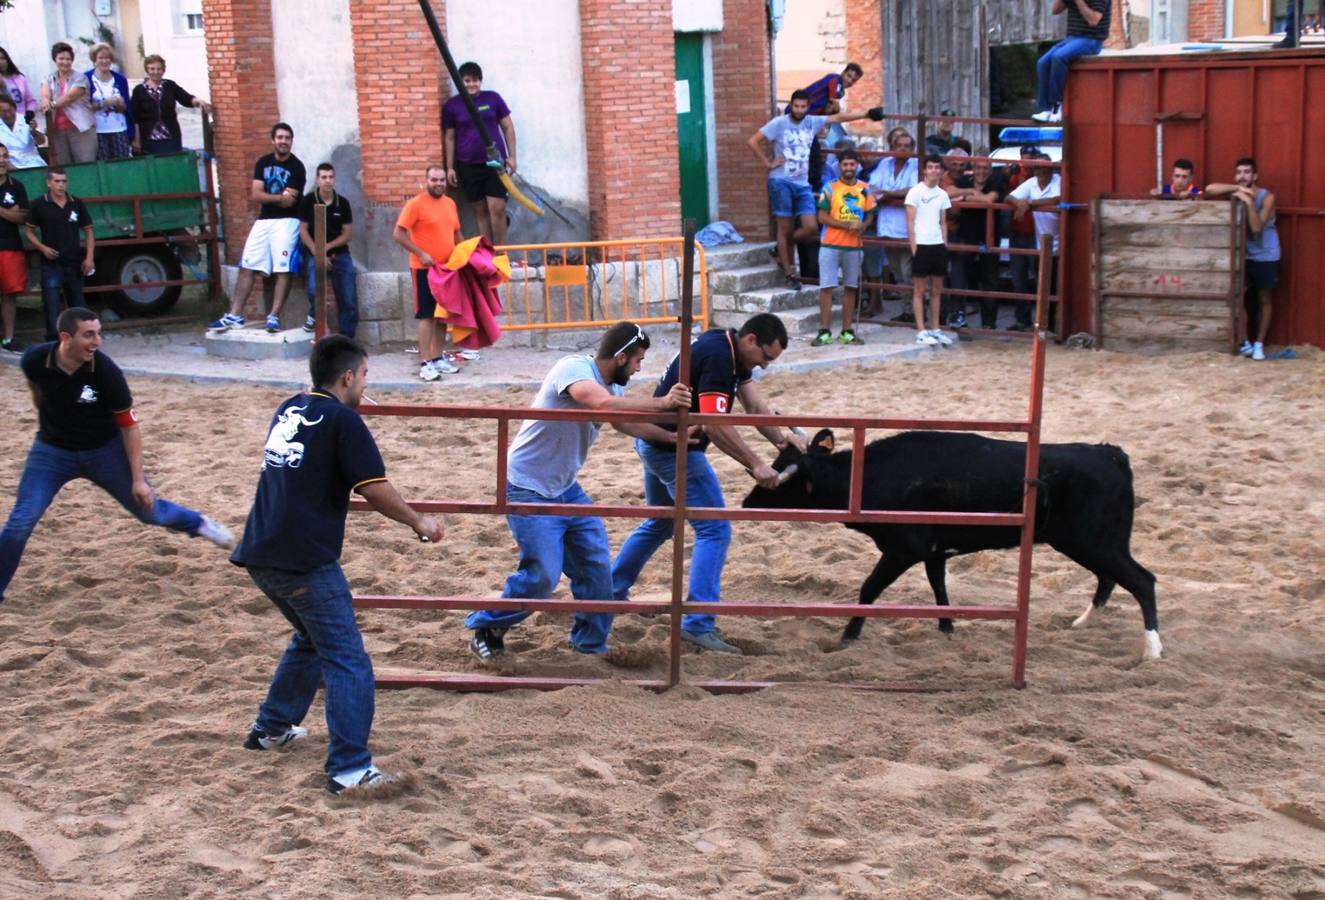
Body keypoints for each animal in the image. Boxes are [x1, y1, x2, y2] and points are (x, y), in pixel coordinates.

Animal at [742, 432, 1166, 657]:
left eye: (779, 480)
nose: (746, 502)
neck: (871, 476)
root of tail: (1109, 452)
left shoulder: (903, 549)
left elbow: (869, 588)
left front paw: (849, 634)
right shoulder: (934, 552)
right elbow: (939, 587)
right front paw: (946, 628)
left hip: (1096, 541)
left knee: (1141, 581)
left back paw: (1152, 648)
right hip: (1091, 543)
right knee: (1109, 580)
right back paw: (1082, 623)